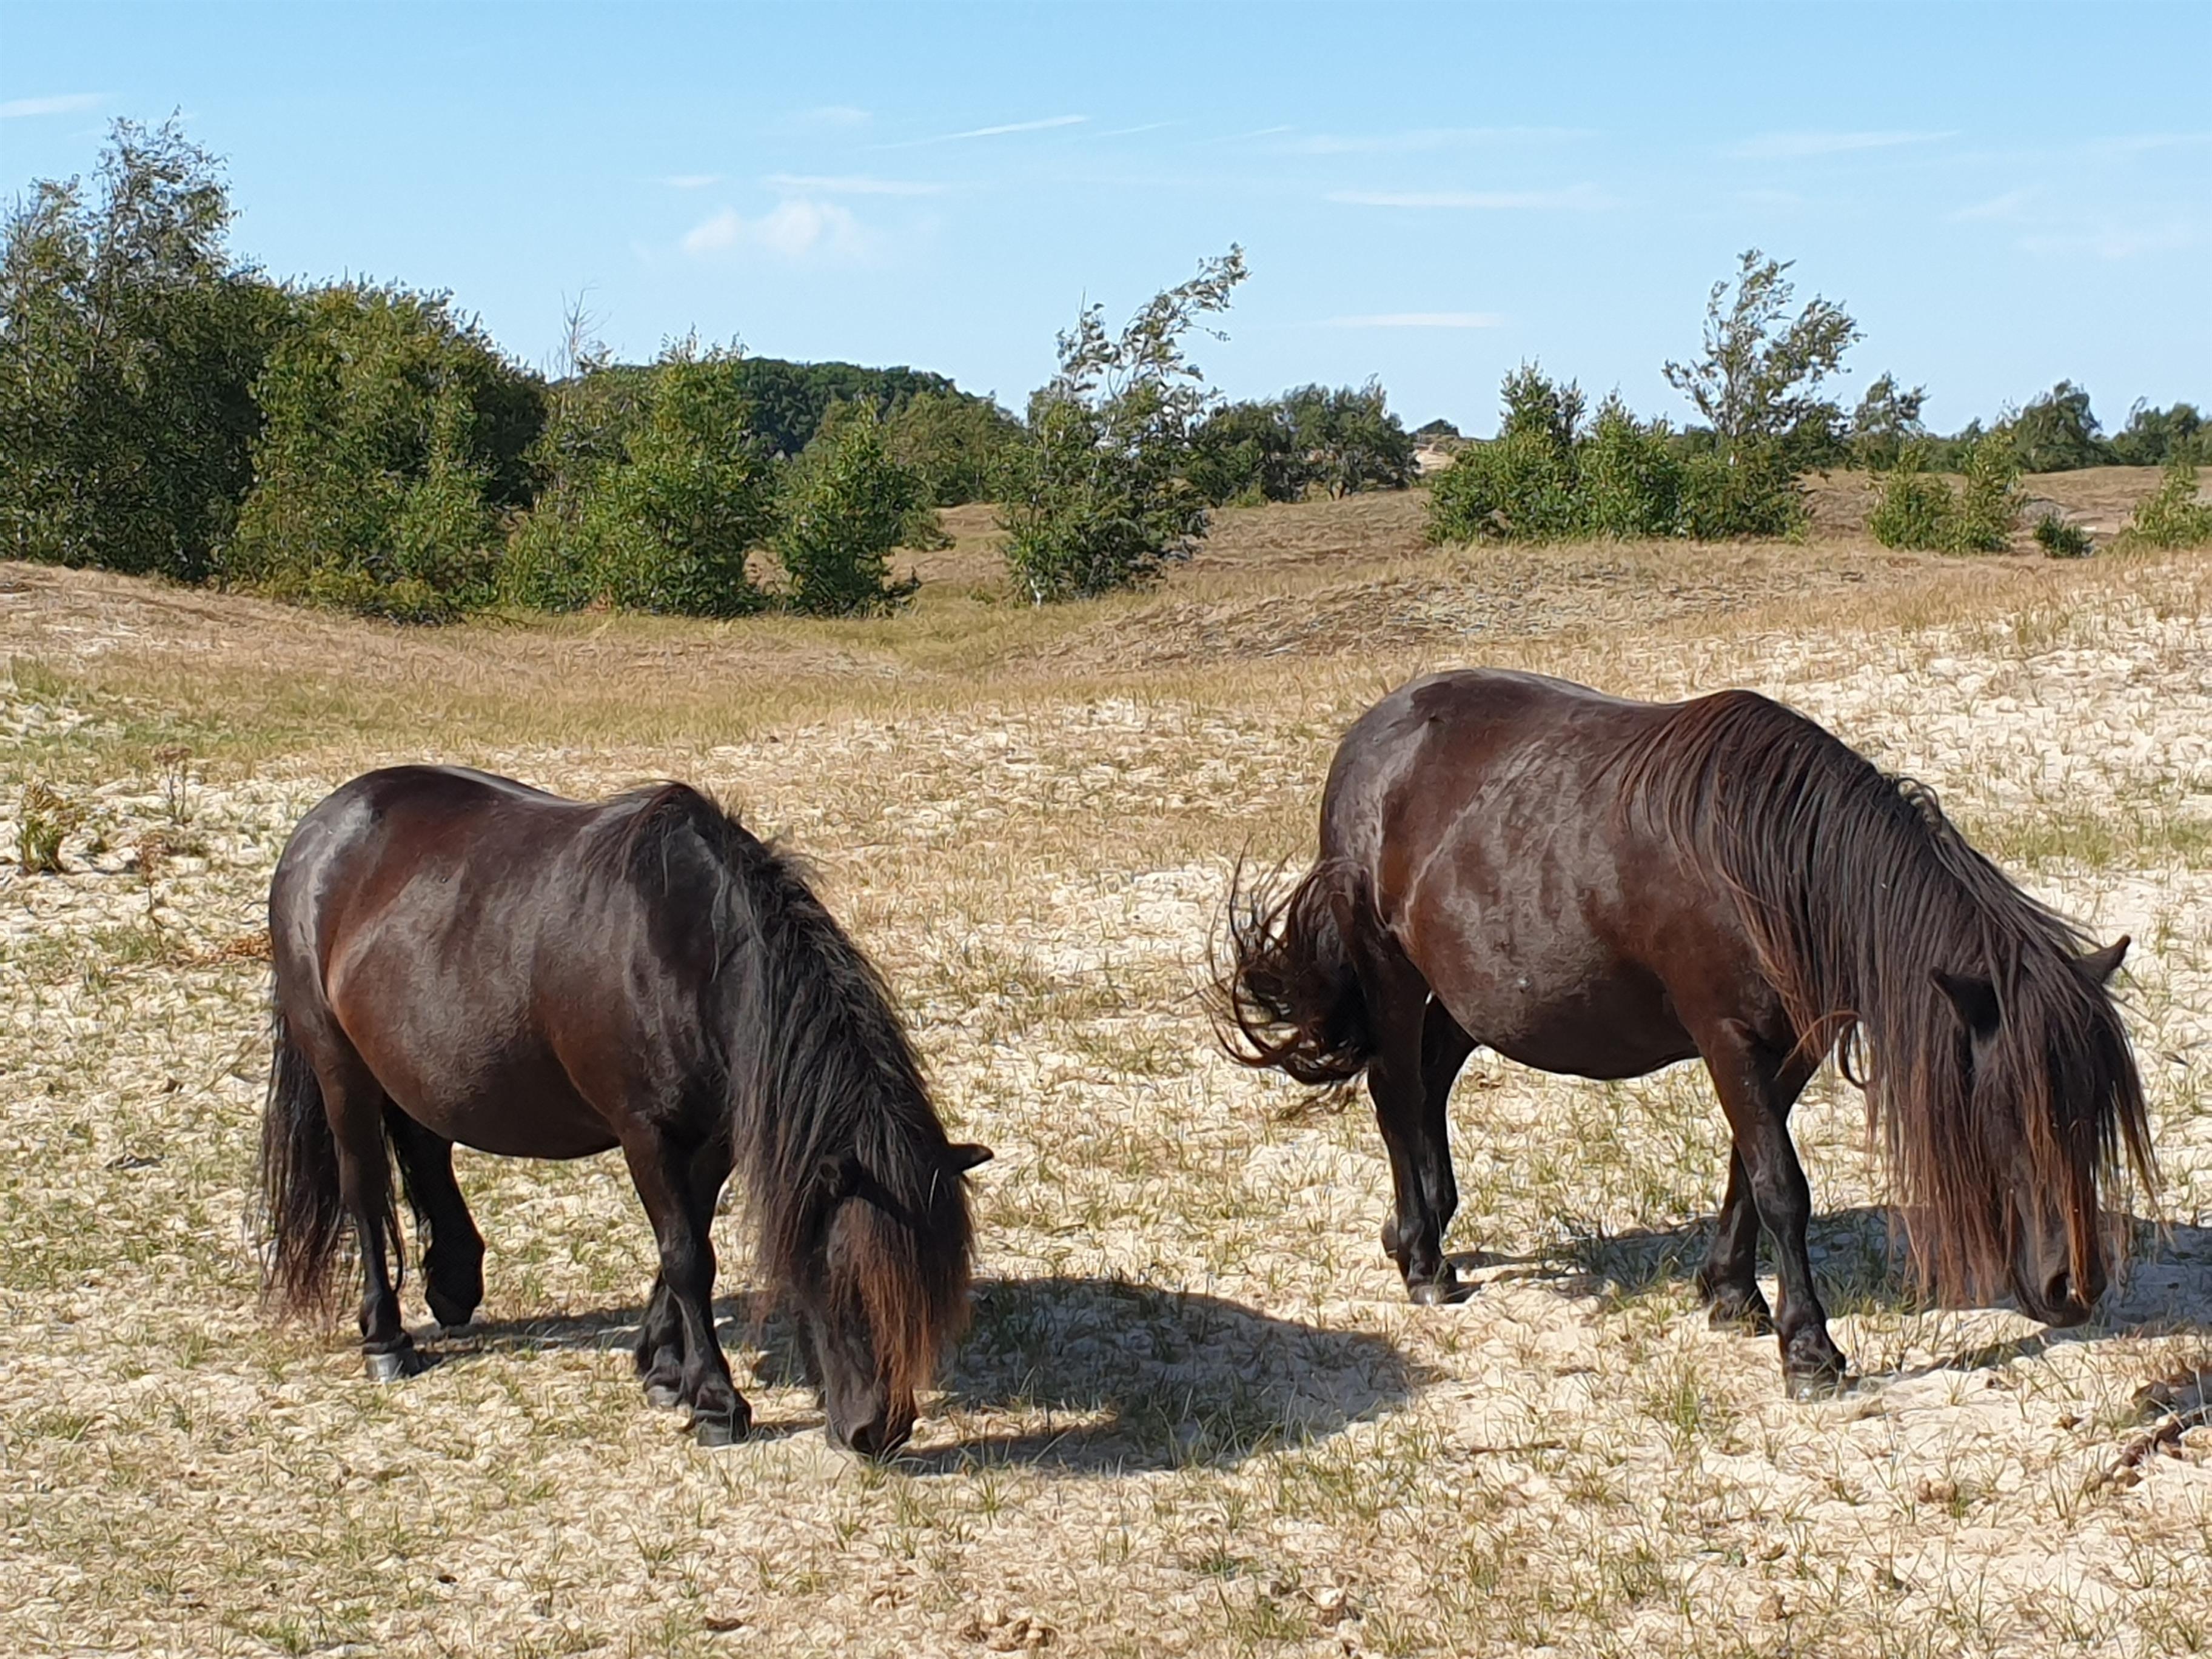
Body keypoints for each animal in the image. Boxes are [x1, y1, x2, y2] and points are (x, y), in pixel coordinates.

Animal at [258, 766, 989, 1454]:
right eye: (844, 1281)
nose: (879, 1431)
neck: (688, 953)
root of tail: (323, 826)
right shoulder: (647, 1133)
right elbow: (688, 1255)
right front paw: (717, 1403)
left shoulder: (714, 1137)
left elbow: (689, 1241)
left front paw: (664, 1368)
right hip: (340, 1069)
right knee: (364, 1190)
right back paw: (385, 1339)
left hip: (418, 1062)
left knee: (426, 1145)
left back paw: (455, 1284)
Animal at [1215, 669, 2154, 1397]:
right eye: (2009, 1113)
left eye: (2093, 1117)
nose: (2074, 1290)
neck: (1772, 866)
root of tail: (1370, 736)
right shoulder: (1725, 1035)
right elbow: (1782, 1183)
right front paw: (1809, 1348)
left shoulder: (1789, 1046)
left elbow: (1750, 1168)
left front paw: (1731, 1293)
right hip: (1390, 971)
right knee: (1396, 1092)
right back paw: (1422, 1259)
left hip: (1464, 988)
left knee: (1432, 1084)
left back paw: (1427, 1225)